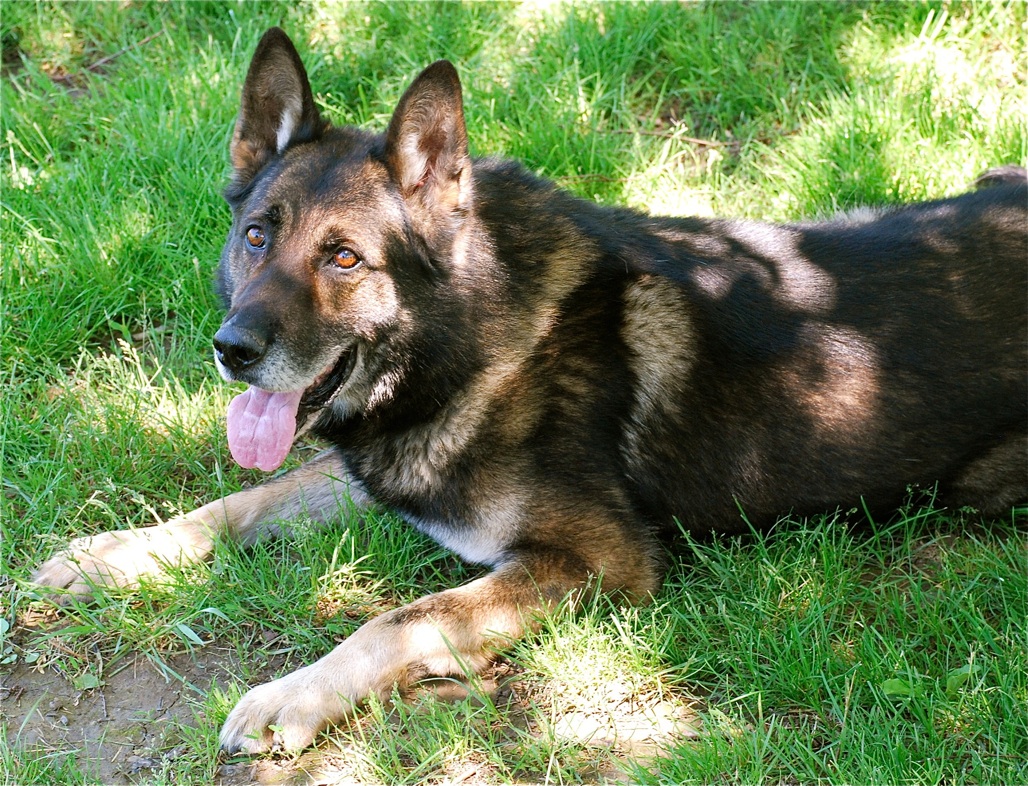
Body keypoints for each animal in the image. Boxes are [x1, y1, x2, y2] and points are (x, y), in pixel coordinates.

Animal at [32, 28, 1027, 755]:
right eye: (255, 237)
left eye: (344, 258)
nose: (231, 351)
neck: (468, 339)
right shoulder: (381, 475)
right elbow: (239, 503)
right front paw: (111, 555)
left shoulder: (593, 560)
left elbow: (396, 620)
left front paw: (291, 695)